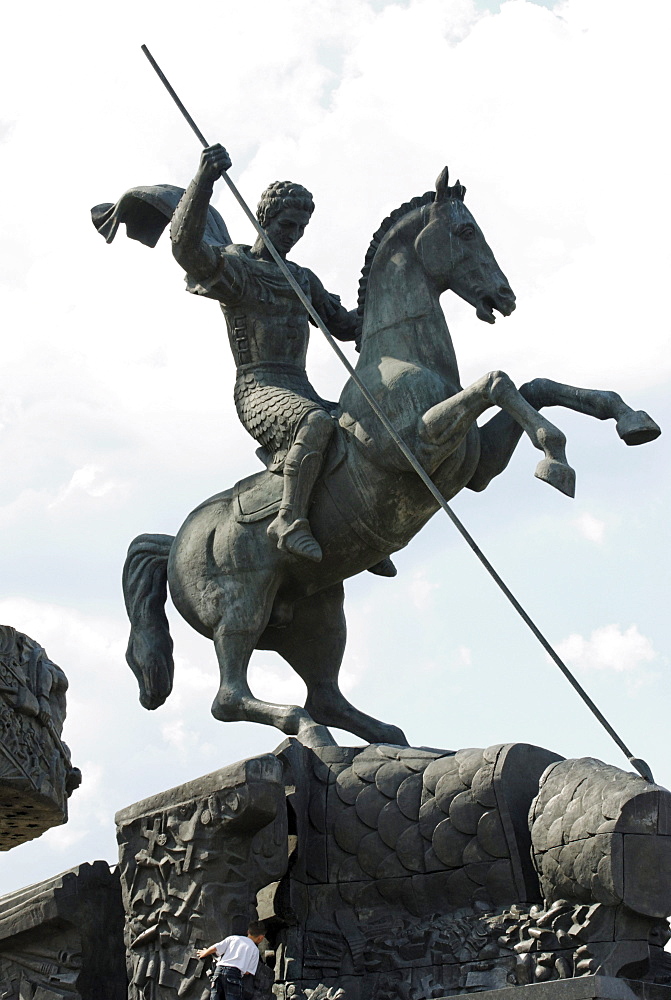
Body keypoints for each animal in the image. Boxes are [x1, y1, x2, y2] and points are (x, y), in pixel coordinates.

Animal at [122, 166, 660, 744]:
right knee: (231, 697)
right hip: (243, 607)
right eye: (466, 231)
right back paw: (311, 729)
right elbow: (497, 382)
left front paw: (630, 420)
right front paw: (555, 458)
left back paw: (388, 739)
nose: (505, 295)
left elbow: (533, 385)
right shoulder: (416, 445)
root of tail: (175, 541)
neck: (402, 359)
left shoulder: (477, 469)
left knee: (325, 694)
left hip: (315, 614)